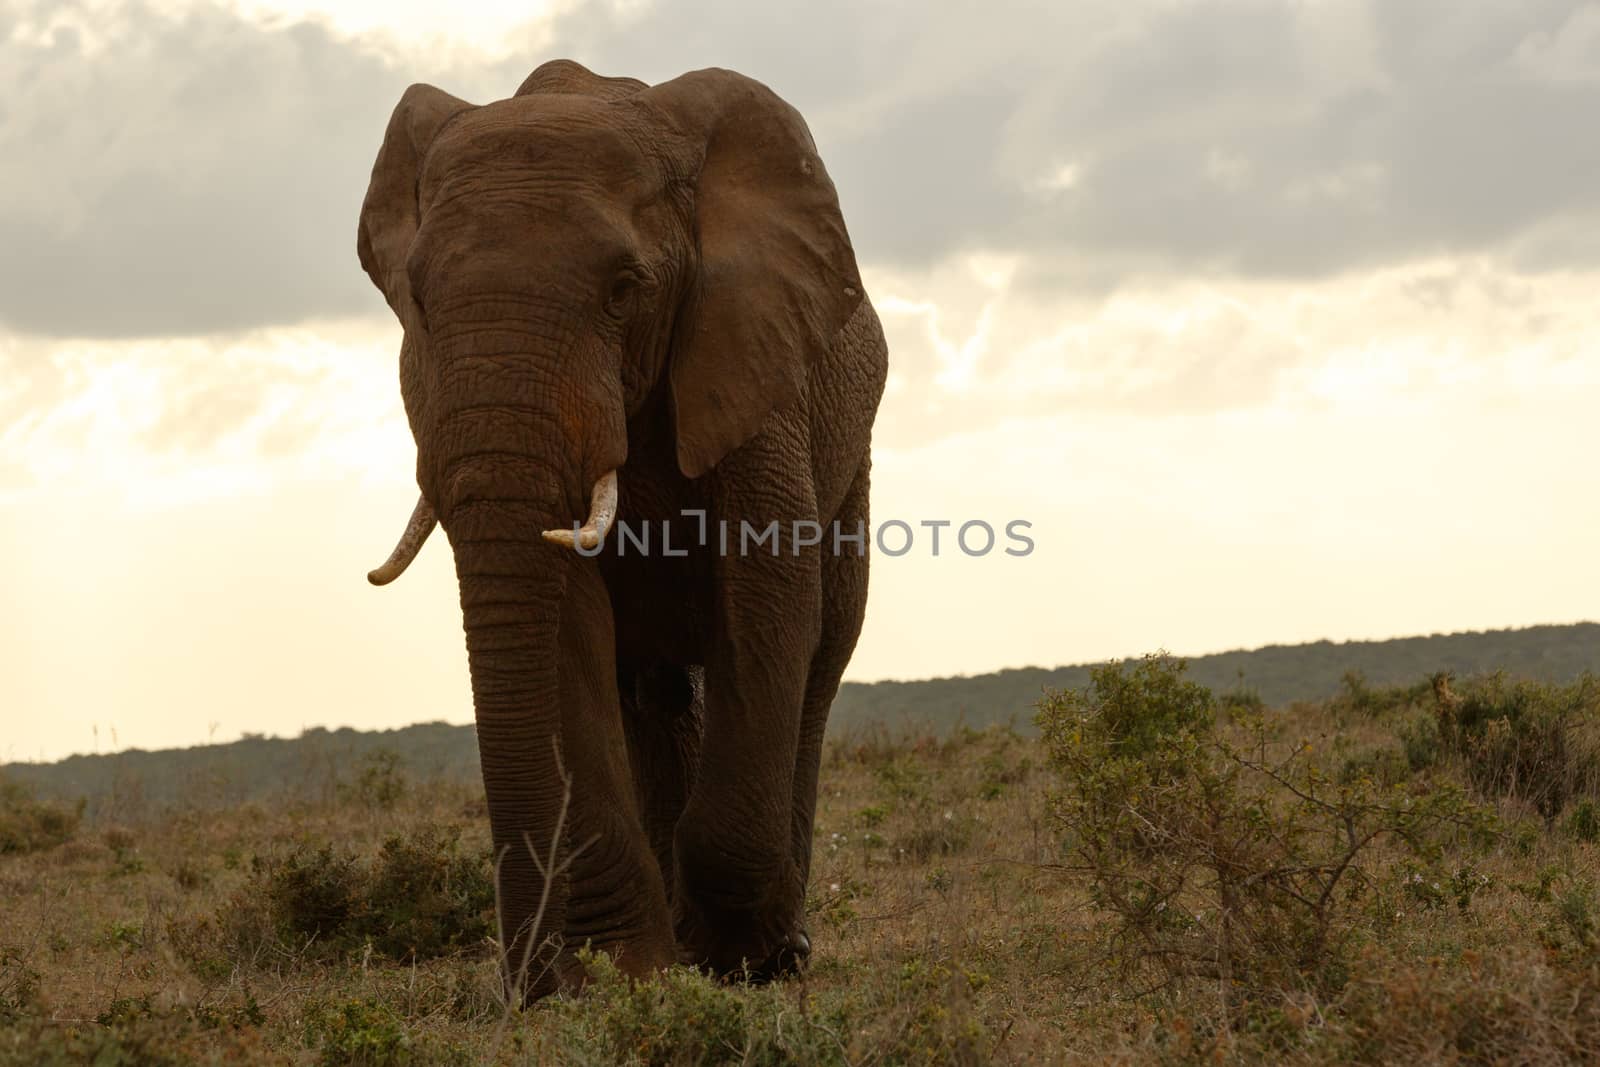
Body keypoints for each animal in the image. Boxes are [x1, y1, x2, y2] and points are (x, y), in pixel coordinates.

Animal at [353, 60, 889, 1004]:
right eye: (415, 297)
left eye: (623, 290)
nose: (524, 982)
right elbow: (566, 618)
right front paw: (623, 972)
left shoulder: (753, 360)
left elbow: (766, 600)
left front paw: (741, 959)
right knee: (653, 692)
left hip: (849, 451)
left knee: (823, 652)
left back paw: (775, 943)